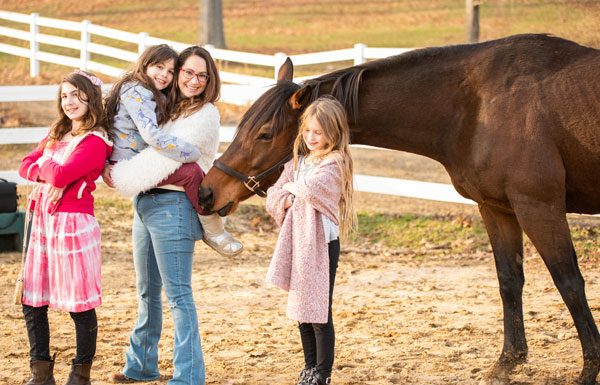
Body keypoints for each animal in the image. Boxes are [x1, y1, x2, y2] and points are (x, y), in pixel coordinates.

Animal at [200, 34, 600, 382]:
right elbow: (510, 281)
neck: (480, 106)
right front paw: (508, 363)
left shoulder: (539, 207)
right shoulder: (497, 209)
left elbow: (569, 283)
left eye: (265, 133)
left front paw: (589, 370)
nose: (206, 192)